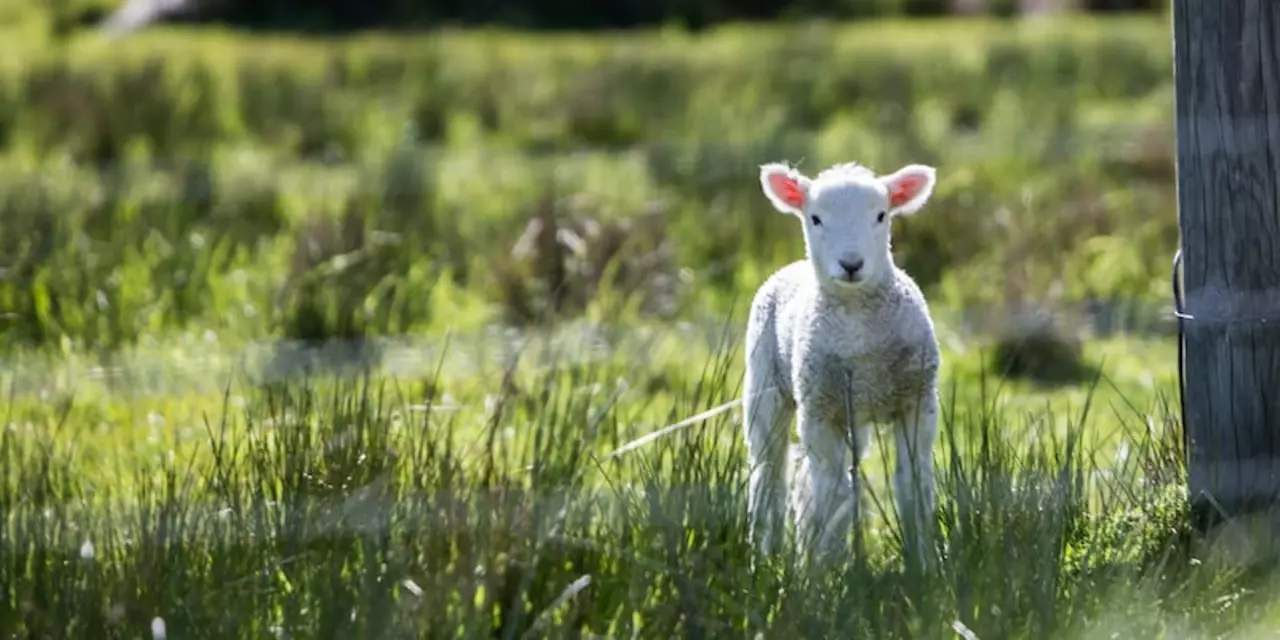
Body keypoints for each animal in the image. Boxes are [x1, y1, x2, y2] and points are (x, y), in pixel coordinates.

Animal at [742, 158, 942, 565]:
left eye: (881, 215)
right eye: (815, 218)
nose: (851, 264)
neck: (858, 327)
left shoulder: (917, 401)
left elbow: (913, 484)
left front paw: (924, 563)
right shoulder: (820, 410)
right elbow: (832, 494)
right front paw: (828, 569)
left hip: (854, 414)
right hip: (765, 387)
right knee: (770, 475)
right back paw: (766, 556)